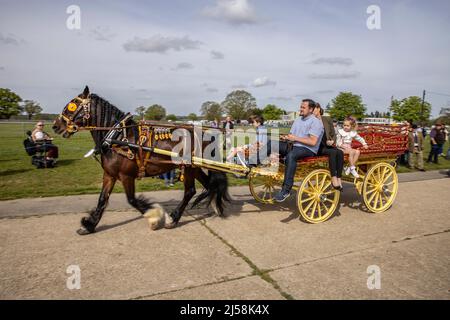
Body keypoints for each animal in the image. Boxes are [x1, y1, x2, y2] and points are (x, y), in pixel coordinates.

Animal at [52, 87, 230, 235]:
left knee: (190, 191)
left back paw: (174, 218)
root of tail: (205, 133)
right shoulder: (110, 174)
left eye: (72, 105)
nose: (55, 126)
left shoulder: (126, 175)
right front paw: (89, 224)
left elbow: (131, 200)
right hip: (195, 167)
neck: (117, 138)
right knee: (210, 184)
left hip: (188, 167)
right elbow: (102, 199)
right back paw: (216, 205)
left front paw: (154, 217)